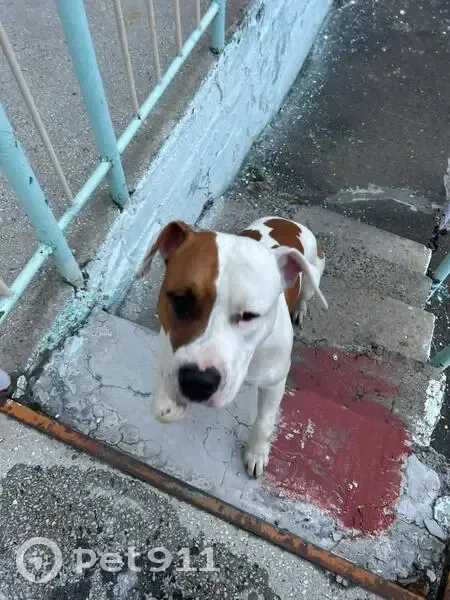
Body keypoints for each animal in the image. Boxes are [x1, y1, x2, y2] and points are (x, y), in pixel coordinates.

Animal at [138, 216, 328, 478]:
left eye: (250, 315)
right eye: (181, 300)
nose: (198, 381)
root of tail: (288, 221)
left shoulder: (275, 381)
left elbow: (264, 422)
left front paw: (256, 453)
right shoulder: (168, 346)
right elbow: (162, 401)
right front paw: (169, 406)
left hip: (312, 279)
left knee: (307, 293)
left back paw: (300, 308)